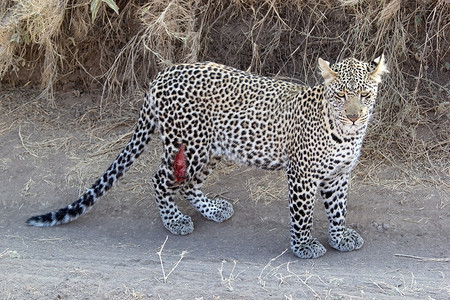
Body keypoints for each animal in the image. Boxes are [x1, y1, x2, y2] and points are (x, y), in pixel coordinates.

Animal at [27, 55, 386, 258]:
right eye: (341, 95)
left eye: (364, 94)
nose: (354, 116)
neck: (345, 135)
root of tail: (162, 75)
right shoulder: (301, 175)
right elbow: (302, 215)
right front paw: (304, 247)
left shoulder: (339, 175)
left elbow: (337, 210)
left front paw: (340, 238)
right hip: (190, 144)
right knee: (159, 180)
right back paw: (174, 221)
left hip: (210, 149)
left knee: (186, 184)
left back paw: (212, 210)